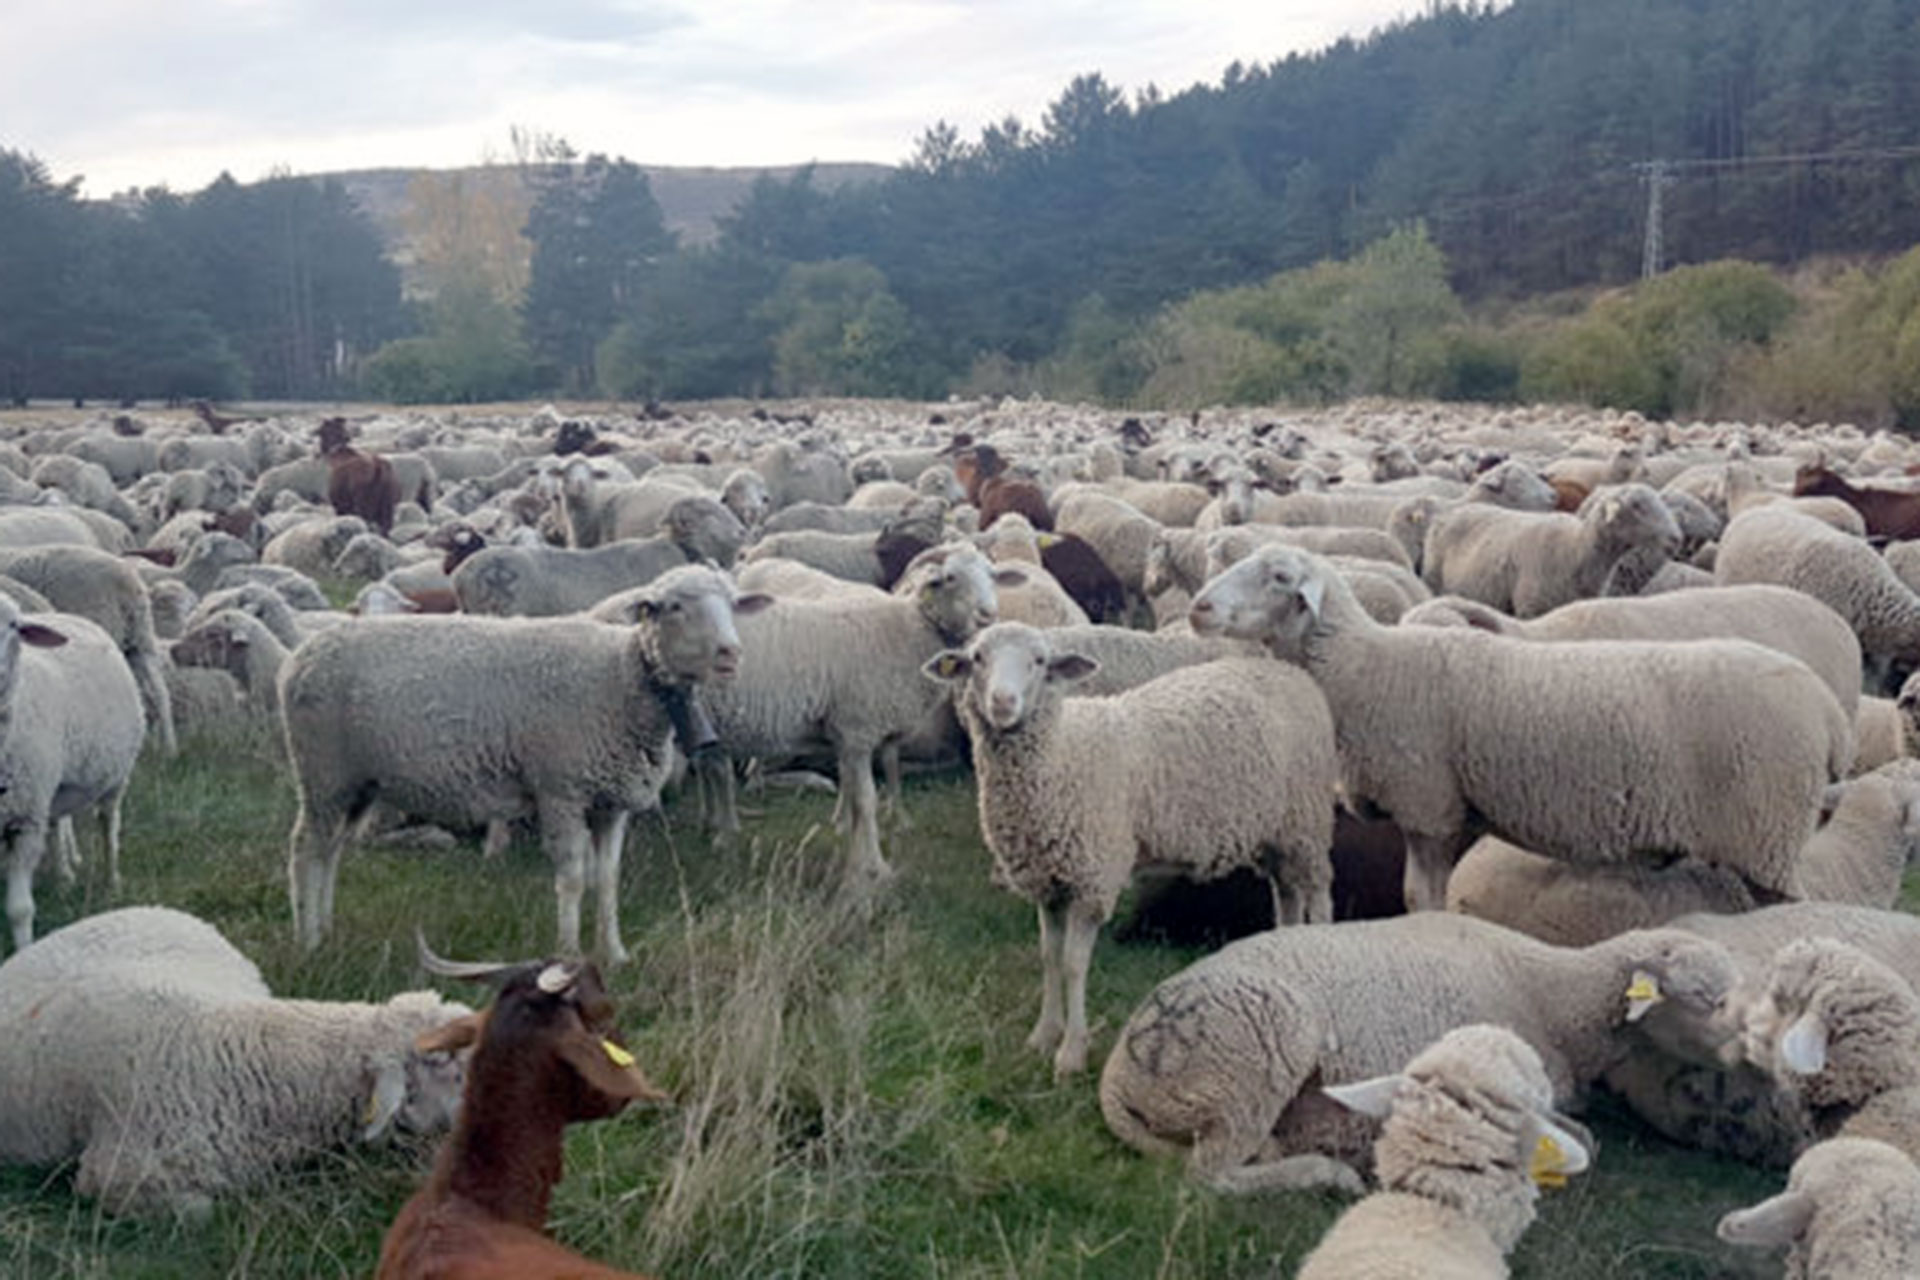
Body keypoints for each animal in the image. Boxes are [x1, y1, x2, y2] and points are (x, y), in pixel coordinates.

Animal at [281, 565, 769, 964]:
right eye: (675, 607)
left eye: (732, 605)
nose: (731, 653)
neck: (622, 676)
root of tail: (302, 656)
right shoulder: (562, 791)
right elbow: (572, 879)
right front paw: (569, 955)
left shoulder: (611, 801)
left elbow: (607, 881)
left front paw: (614, 953)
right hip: (322, 770)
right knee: (306, 847)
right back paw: (307, 940)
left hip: (356, 781)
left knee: (331, 849)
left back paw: (325, 929)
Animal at [925, 623, 1338, 1078]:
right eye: (978, 658)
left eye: (1039, 661)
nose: (1002, 702)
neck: (1060, 757)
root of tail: (1290, 672)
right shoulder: (1048, 882)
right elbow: (1049, 956)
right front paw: (1043, 1036)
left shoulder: (1093, 879)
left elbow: (1073, 964)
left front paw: (1071, 1052)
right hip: (1278, 834)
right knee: (1288, 893)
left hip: (1308, 824)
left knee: (1319, 898)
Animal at [1096, 912, 1736, 1192]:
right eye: (1706, 999)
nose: (1745, 1053)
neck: (1551, 991)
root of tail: (1120, 1071)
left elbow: (1585, 1138)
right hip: (1254, 1060)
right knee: (1211, 1176)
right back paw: (1329, 1173)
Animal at [1420, 483, 1682, 618]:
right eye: (1637, 506)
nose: (1676, 538)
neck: (1575, 549)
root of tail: (1449, 513)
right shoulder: (1531, 609)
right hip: (1433, 581)